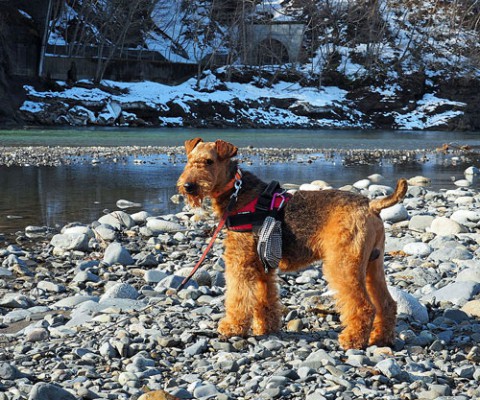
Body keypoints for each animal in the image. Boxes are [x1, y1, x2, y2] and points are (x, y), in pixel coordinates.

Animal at [178, 138, 406, 350]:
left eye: (209, 161)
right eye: (189, 160)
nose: (188, 186)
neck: (236, 193)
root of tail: (371, 204)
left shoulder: (240, 262)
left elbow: (238, 295)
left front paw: (232, 327)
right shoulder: (262, 266)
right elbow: (265, 298)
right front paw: (266, 328)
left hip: (343, 265)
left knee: (364, 306)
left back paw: (352, 340)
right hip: (372, 266)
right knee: (387, 304)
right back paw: (381, 339)